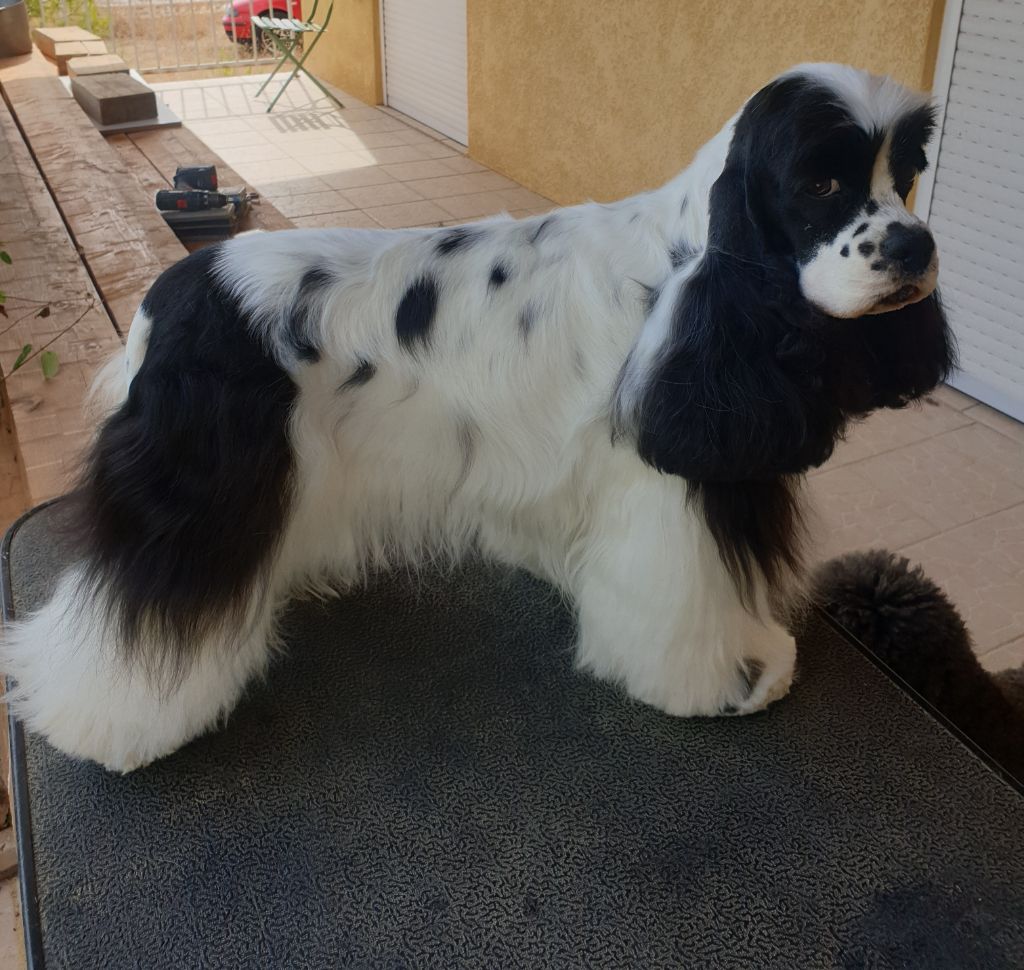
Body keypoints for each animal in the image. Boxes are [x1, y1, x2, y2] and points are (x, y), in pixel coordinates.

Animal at [2, 63, 954, 772]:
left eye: (906, 174)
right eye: (820, 182)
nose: (915, 247)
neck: (697, 276)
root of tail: (172, 289)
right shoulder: (667, 493)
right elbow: (688, 600)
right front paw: (726, 683)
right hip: (200, 491)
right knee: (132, 610)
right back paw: (102, 725)